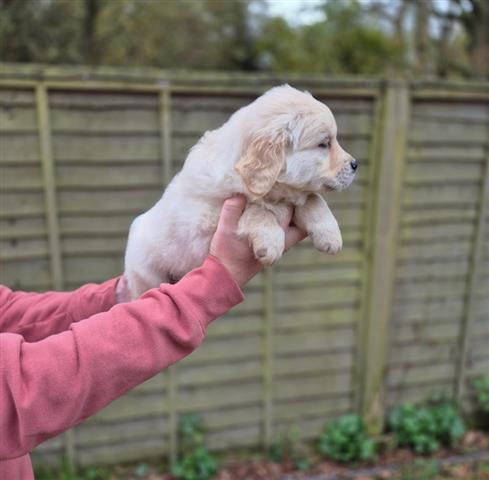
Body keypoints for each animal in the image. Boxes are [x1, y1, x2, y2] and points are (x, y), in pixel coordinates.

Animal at [124, 84, 356, 298]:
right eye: (324, 144)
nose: (356, 164)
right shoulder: (204, 219)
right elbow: (255, 208)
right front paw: (270, 242)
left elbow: (312, 197)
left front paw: (330, 235)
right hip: (145, 274)